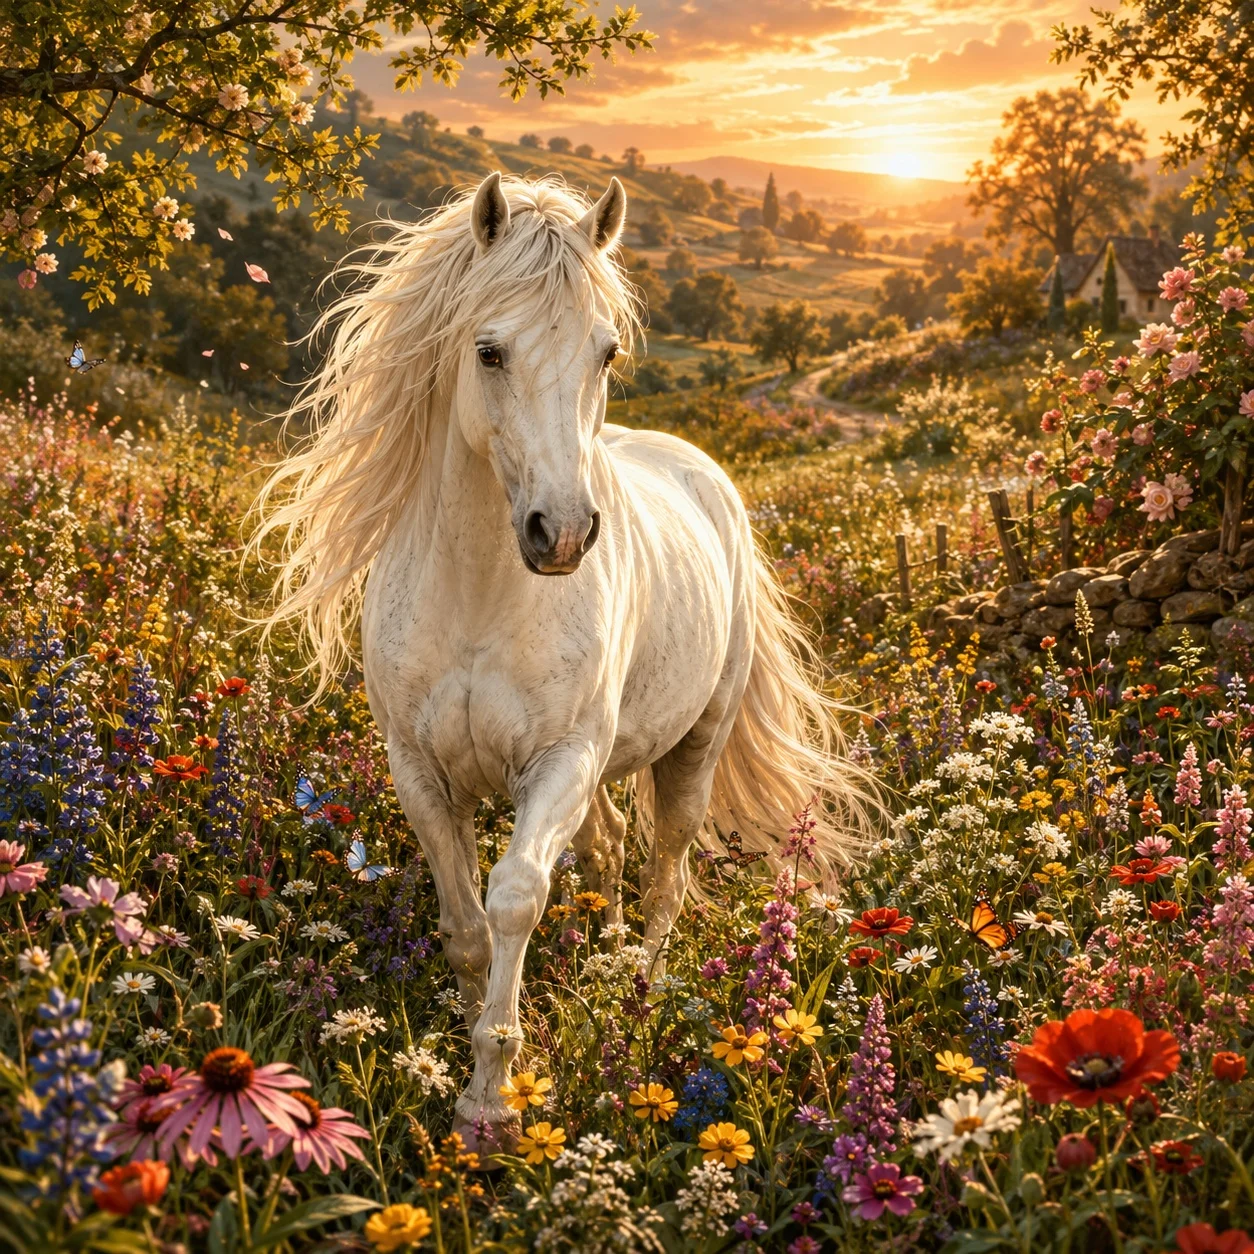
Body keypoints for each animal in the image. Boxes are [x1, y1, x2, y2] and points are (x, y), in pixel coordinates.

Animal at [253, 172, 868, 1150]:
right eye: (489, 351)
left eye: (607, 353)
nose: (566, 533)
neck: (478, 593)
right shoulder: (421, 772)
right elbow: (466, 923)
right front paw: (465, 1058)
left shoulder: (559, 763)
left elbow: (514, 897)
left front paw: (494, 1100)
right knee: (611, 852)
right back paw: (606, 966)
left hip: (691, 750)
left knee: (664, 877)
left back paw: (639, 999)